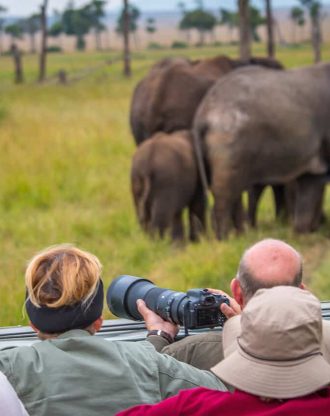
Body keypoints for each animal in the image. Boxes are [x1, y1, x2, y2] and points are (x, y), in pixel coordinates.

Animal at [193, 61, 330, 237]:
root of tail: (203, 113)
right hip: (229, 144)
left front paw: (303, 234)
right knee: (226, 192)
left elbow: (311, 182)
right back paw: (225, 238)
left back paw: (240, 234)